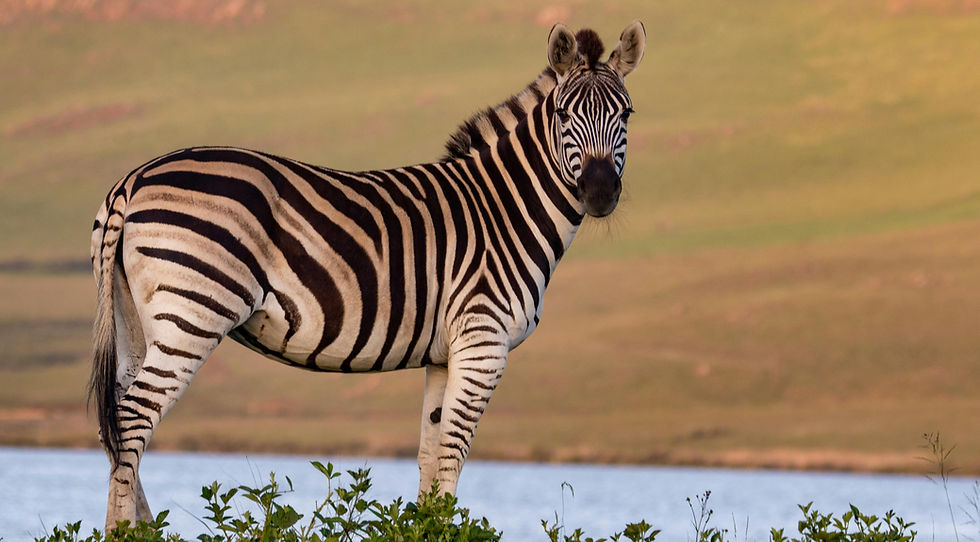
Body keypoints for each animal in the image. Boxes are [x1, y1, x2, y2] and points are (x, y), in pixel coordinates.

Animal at [89, 21, 645, 530]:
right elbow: (453, 455)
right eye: (563, 114)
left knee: (115, 421)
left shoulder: (444, 354)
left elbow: (429, 456)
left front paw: (428, 528)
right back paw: (124, 532)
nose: (599, 192)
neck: (503, 209)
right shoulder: (483, 342)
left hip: (135, 319)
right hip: (194, 312)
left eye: (626, 114)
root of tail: (134, 179)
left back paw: (142, 529)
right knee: (133, 418)